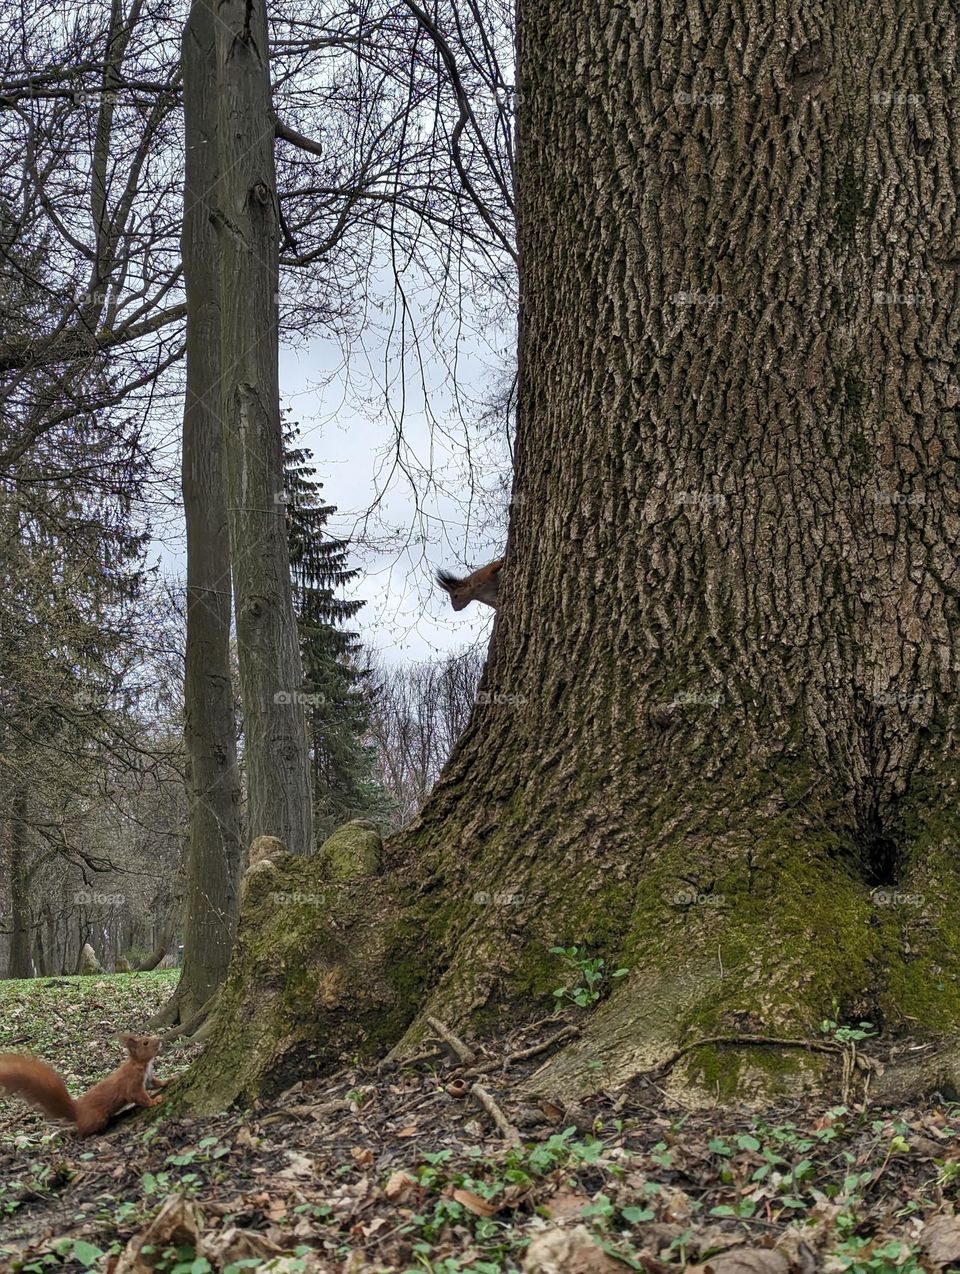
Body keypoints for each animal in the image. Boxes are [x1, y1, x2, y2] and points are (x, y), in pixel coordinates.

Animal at [0, 1032, 164, 1136]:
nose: (160, 1039)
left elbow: (155, 1083)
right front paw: (154, 1101)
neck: (142, 1064)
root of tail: (77, 1112)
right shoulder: (131, 1081)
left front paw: (169, 1080)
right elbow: (138, 1095)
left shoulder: (148, 1078)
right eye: (145, 1042)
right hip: (96, 1117)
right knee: (82, 1132)